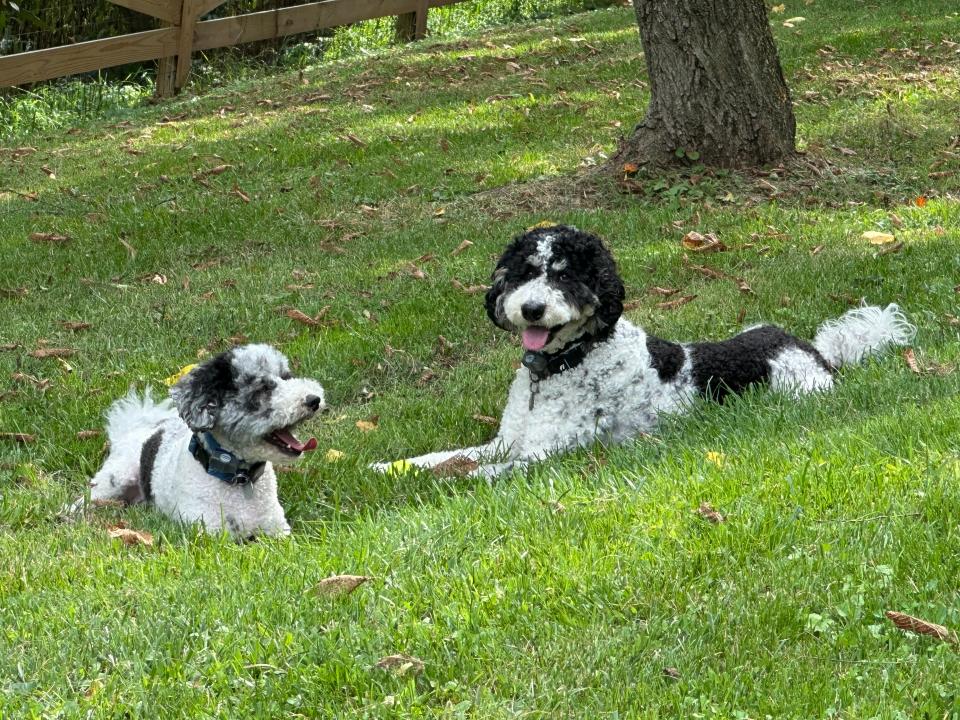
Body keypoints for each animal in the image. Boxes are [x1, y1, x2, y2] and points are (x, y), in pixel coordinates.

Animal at [79, 344, 326, 540]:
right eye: (263, 388)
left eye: (287, 376)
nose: (314, 400)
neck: (238, 480)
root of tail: (134, 429)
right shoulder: (209, 532)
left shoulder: (278, 531)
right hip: (113, 480)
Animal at [376, 222, 916, 476]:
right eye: (526, 271)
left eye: (566, 276)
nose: (530, 309)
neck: (567, 361)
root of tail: (814, 350)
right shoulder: (507, 438)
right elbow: (446, 455)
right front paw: (392, 468)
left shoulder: (551, 449)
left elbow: (490, 469)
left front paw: (459, 480)